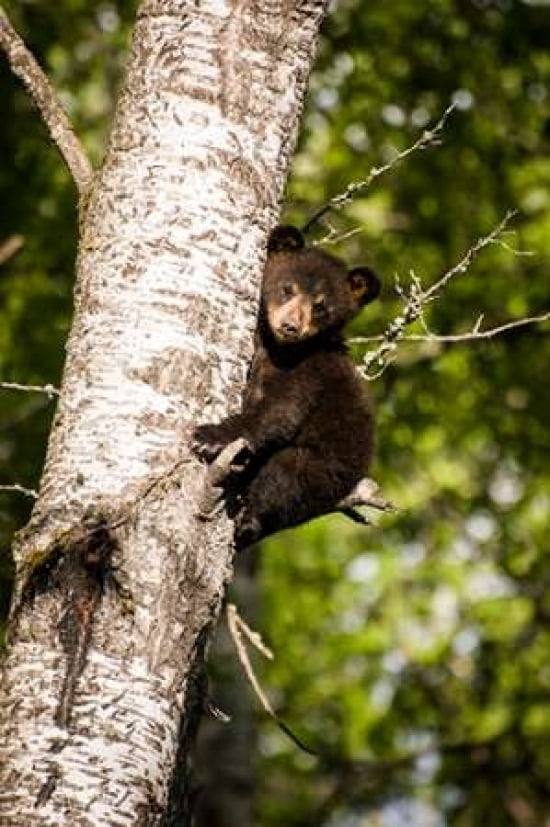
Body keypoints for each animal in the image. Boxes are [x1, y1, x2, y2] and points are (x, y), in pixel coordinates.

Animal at [192, 225, 381, 549]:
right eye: (288, 289)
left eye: (320, 307)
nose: (291, 326)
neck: (279, 347)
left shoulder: (308, 371)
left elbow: (279, 410)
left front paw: (209, 436)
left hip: (324, 469)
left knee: (283, 478)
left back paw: (247, 518)